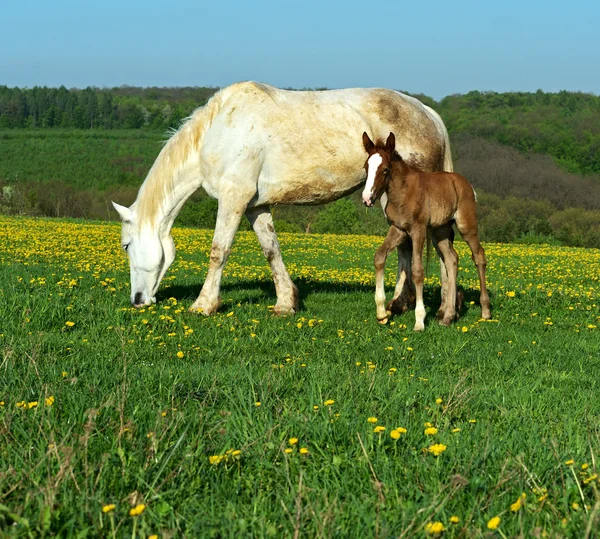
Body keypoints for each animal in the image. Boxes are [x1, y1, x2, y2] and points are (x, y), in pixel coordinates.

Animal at [112, 81, 452, 314]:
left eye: (126, 245)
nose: (137, 300)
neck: (219, 129)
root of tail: (430, 114)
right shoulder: (256, 206)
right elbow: (271, 251)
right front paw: (286, 302)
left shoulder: (233, 198)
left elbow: (218, 251)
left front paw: (204, 305)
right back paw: (407, 303)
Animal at [364, 133, 490, 332]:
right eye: (366, 167)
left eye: (385, 169)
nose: (367, 198)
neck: (402, 191)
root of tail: (465, 183)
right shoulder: (399, 228)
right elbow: (379, 256)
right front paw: (382, 313)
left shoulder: (418, 229)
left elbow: (417, 271)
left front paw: (419, 321)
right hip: (440, 231)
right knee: (451, 259)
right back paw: (448, 316)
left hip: (466, 226)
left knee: (478, 256)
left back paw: (485, 311)